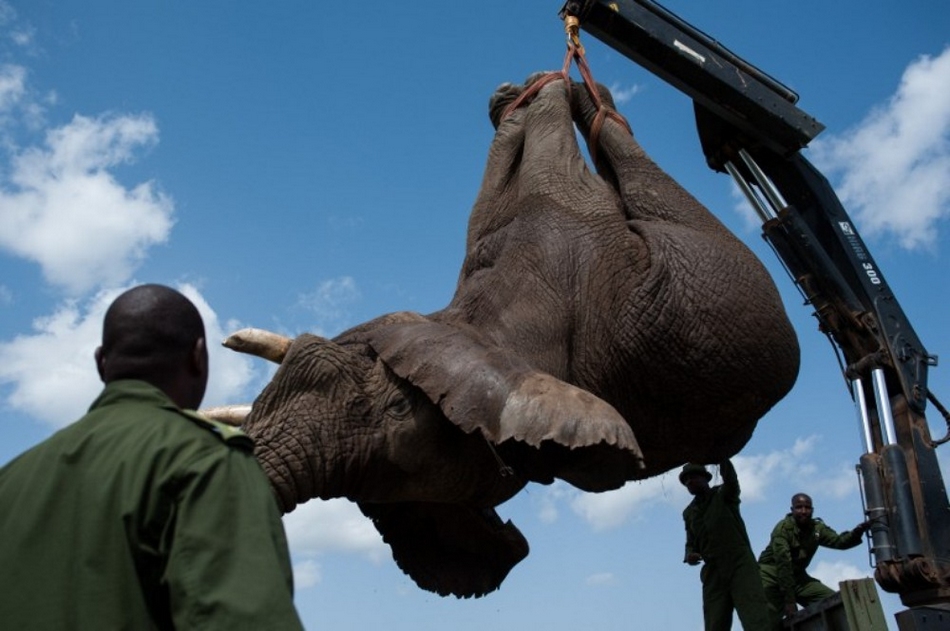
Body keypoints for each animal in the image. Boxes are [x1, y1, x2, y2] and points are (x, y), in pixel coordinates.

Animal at [214, 71, 796, 600]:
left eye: (398, 413)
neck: (476, 326)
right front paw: (517, 101)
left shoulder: (567, 235)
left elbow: (543, 175)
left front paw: (536, 94)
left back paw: (574, 92)